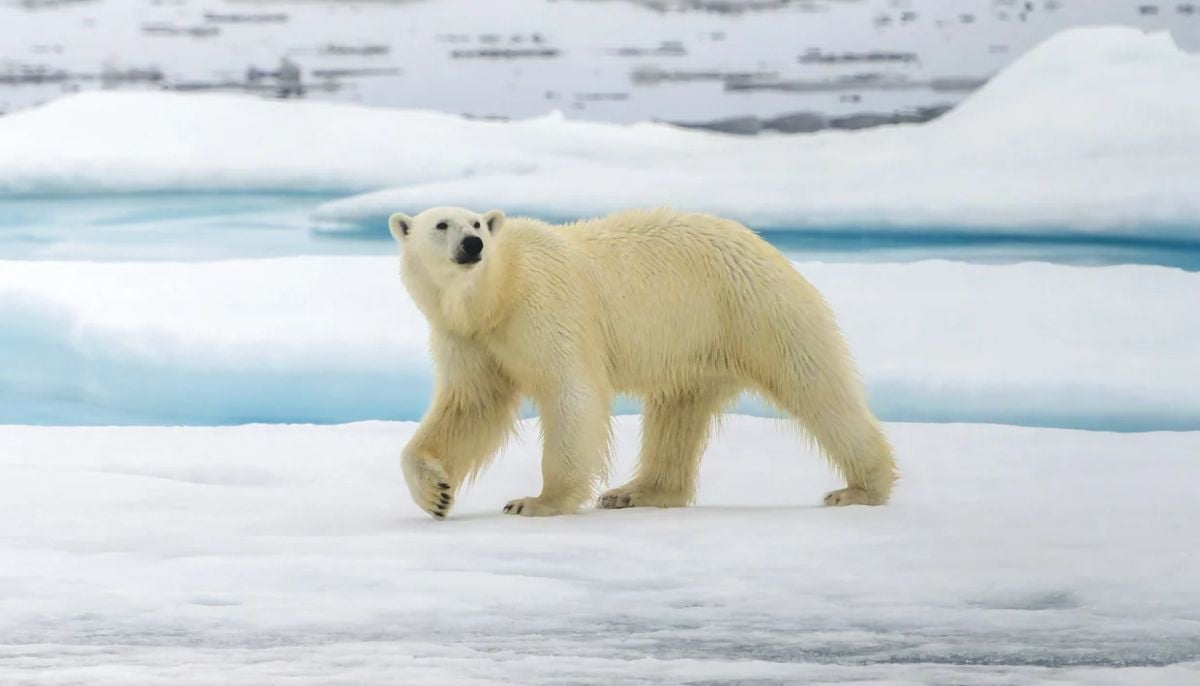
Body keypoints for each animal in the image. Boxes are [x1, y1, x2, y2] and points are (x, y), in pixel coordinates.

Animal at [388, 206, 897, 518]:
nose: (473, 244)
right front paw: (436, 494)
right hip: (696, 344)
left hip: (752, 308)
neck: (497, 292)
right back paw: (636, 491)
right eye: (441, 224)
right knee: (676, 412)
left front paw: (536, 501)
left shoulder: (546, 308)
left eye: (476, 222)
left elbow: (571, 393)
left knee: (814, 386)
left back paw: (859, 488)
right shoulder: (469, 338)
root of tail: (763, 245)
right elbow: (470, 406)